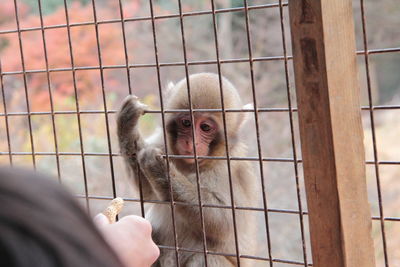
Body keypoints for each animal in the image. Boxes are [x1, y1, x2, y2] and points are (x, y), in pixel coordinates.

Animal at [117, 73, 258, 267]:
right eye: (186, 123)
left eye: (205, 127)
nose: (191, 142)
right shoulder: (163, 142)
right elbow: (148, 193)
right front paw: (127, 126)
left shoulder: (229, 169)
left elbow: (227, 222)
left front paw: (161, 170)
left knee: (206, 257)